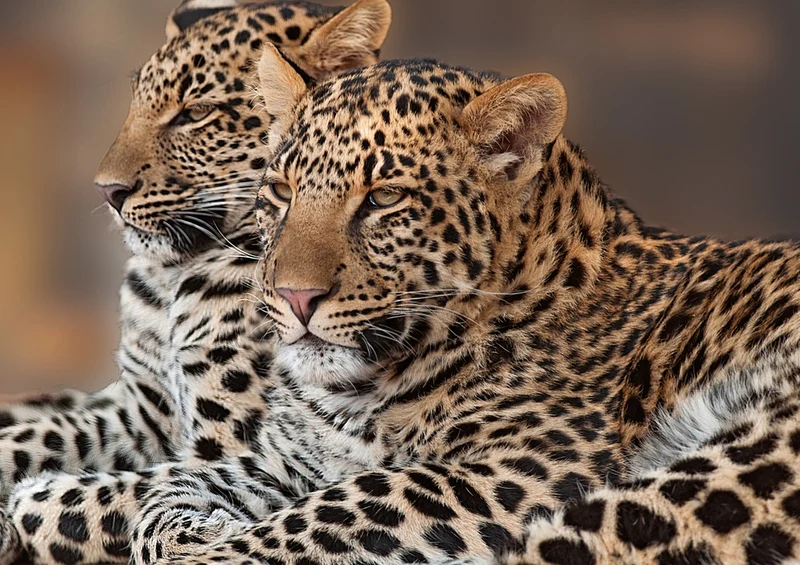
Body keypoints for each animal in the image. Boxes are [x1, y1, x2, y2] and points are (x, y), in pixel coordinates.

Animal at [0, 1, 391, 563]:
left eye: (197, 112)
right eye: (136, 102)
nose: (106, 190)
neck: (169, 283)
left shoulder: (236, 446)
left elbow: (103, 494)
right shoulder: (140, 412)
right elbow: (37, 436)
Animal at [106, 55, 800, 565]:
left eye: (383, 198)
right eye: (280, 191)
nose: (292, 297)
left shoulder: (521, 468)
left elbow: (341, 503)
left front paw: (210, 548)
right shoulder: (291, 454)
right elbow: (175, 485)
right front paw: (191, 526)